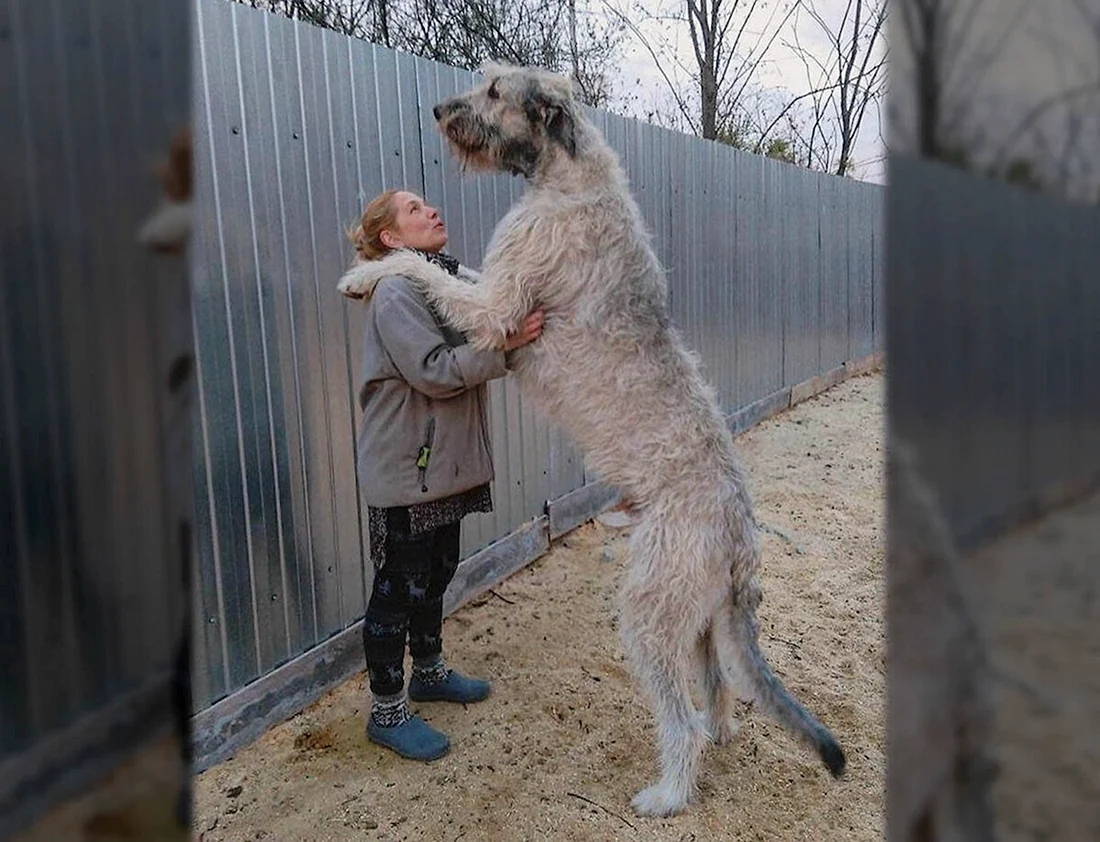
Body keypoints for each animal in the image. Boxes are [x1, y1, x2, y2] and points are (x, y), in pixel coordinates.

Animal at [338, 60, 844, 814]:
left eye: (495, 90)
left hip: (650, 607)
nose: (437, 109)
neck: (567, 174)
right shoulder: (495, 284)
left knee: (682, 718)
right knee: (718, 690)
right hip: (697, 611)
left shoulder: (499, 305)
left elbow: (424, 268)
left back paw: (668, 793)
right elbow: (447, 268)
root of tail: (738, 527)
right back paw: (720, 733)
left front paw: (366, 272)